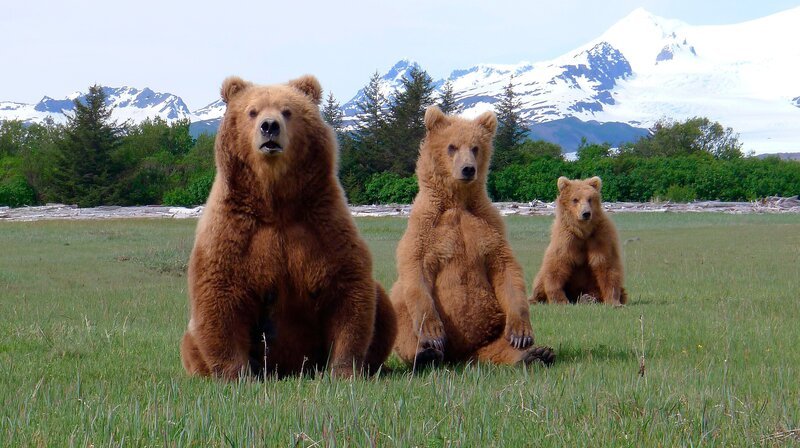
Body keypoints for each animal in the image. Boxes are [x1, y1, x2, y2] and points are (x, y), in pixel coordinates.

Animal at [179, 75, 397, 380]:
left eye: (287, 111)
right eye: (252, 111)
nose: (269, 126)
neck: (276, 204)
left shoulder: (322, 225)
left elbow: (347, 289)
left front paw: (343, 369)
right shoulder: (235, 232)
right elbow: (220, 295)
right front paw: (236, 373)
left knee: (383, 306)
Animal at [390, 106, 555, 369]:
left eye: (475, 147)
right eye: (452, 146)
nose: (468, 169)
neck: (458, 201)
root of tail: (460, 356)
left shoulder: (488, 226)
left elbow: (506, 269)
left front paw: (522, 334)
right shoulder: (426, 228)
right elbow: (416, 267)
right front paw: (433, 335)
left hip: (492, 325)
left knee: (498, 345)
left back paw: (534, 354)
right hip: (406, 310)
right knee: (402, 315)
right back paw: (425, 355)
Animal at [530, 176, 627, 305]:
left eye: (590, 199)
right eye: (575, 199)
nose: (586, 213)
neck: (583, 232)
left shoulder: (600, 237)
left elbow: (607, 265)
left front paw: (614, 301)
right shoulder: (566, 239)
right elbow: (557, 265)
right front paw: (560, 300)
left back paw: (588, 298)